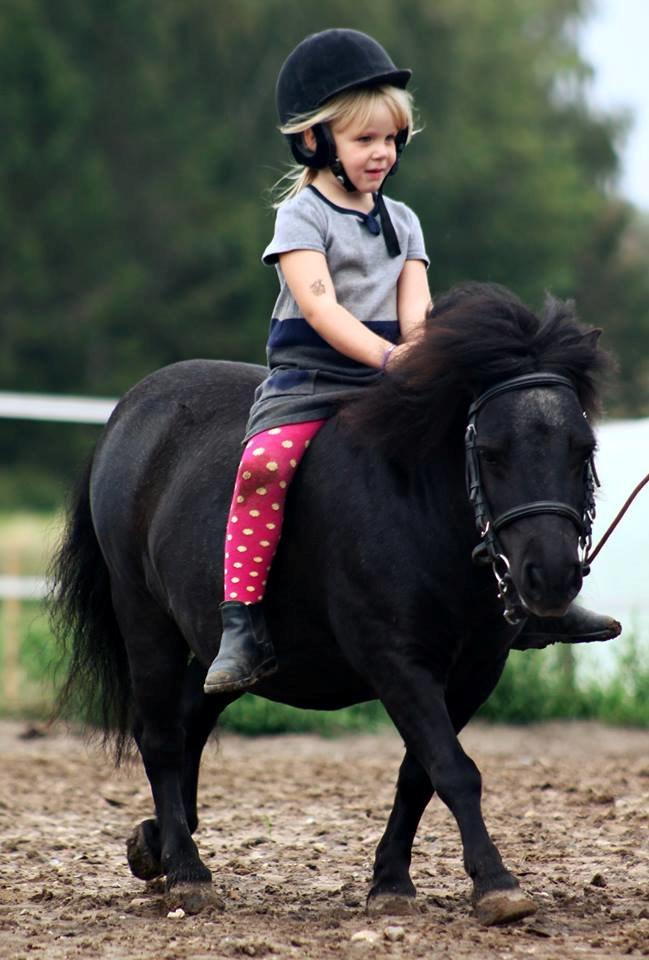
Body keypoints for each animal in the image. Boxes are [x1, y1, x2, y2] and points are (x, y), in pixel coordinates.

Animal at [53, 284, 612, 924]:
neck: (418, 501)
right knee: (162, 736)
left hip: (222, 651)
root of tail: (131, 409)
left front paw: (392, 882)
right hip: (144, 617)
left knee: (192, 716)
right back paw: (189, 873)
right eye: (492, 453)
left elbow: (420, 772)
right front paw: (496, 884)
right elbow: (453, 768)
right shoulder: (395, 660)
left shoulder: (475, 670)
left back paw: (159, 846)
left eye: (583, 448)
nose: (552, 578)